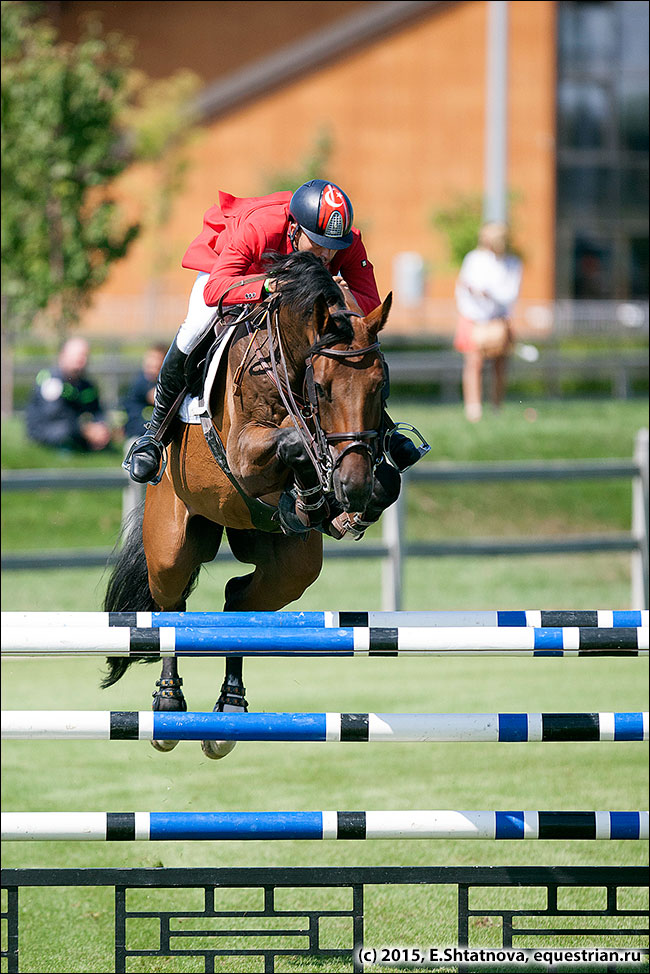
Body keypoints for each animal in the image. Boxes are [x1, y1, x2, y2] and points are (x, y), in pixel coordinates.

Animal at [101, 250, 399, 758]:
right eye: (322, 387)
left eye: (381, 386)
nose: (353, 484)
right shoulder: (242, 454)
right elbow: (295, 439)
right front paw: (313, 491)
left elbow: (386, 481)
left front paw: (333, 504)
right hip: (172, 543)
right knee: (171, 606)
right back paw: (169, 702)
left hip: (288, 569)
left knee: (240, 603)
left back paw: (230, 706)